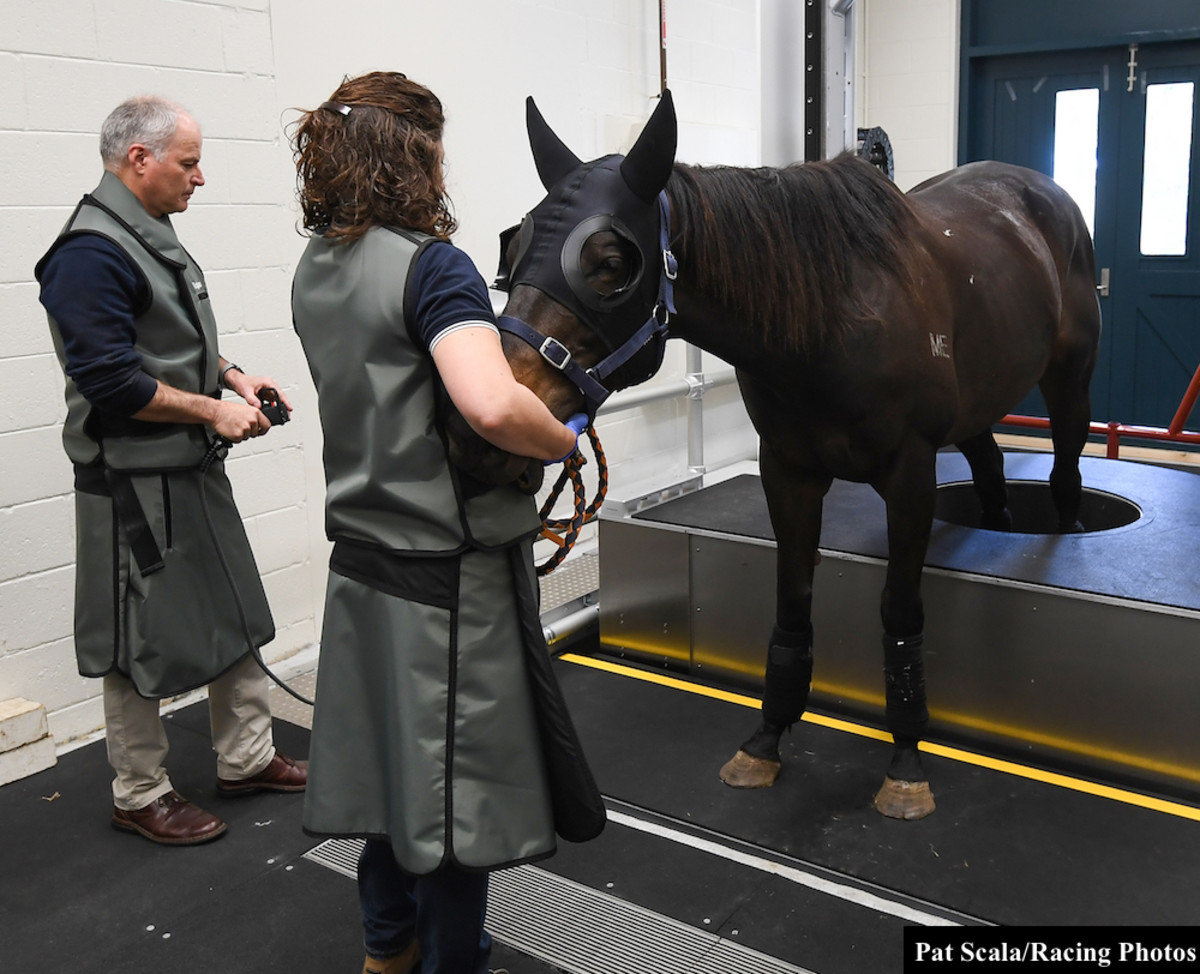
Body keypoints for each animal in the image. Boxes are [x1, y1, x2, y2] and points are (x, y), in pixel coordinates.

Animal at [475, 92, 1099, 820]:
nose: (488, 431)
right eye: (513, 250)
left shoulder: (911, 475)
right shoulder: (789, 473)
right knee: (994, 474)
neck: (831, 320)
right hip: (977, 404)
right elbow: (792, 603)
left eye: (608, 263)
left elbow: (899, 610)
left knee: (1064, 473)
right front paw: (766, 741)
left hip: (1069, 381)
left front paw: (906, 760)